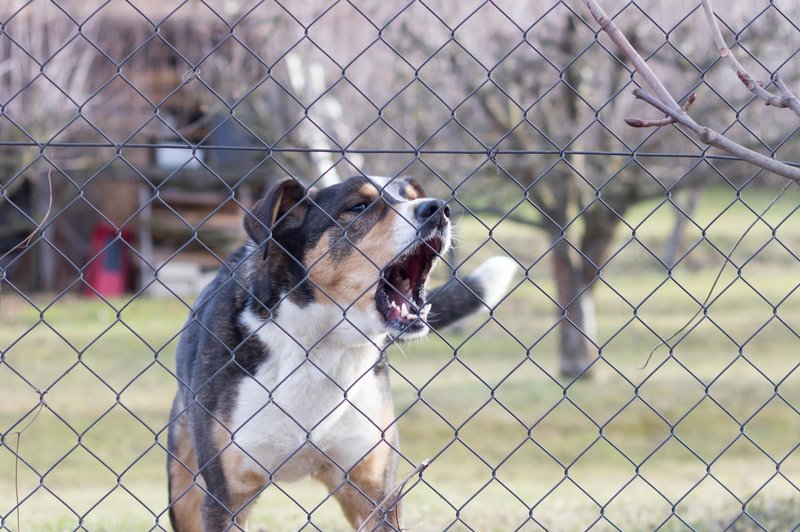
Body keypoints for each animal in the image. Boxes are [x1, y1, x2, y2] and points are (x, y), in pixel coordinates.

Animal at [168, 177, 516, 528]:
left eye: (411, 196)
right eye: (359, 207)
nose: (438, 210)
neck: (320, 347)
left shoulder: (375, 491)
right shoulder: (226, 499)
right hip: (184, 494)